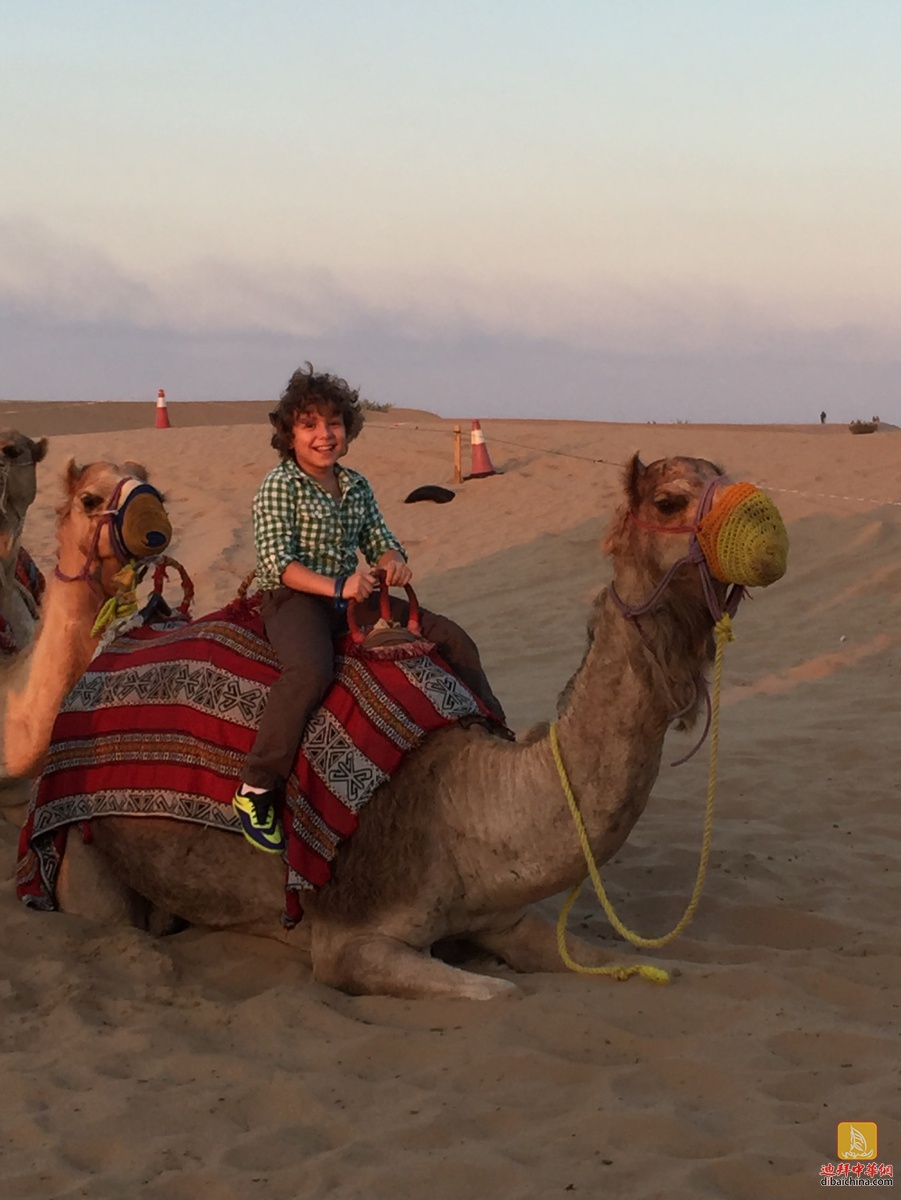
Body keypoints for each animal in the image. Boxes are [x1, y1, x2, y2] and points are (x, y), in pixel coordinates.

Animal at [31, 453, 787, 998]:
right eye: (670, 501)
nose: (770, 531)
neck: (465, 802)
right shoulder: (348, 941)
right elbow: (502, 994)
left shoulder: (505, 915)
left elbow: (629, 960)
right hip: (83, 853)